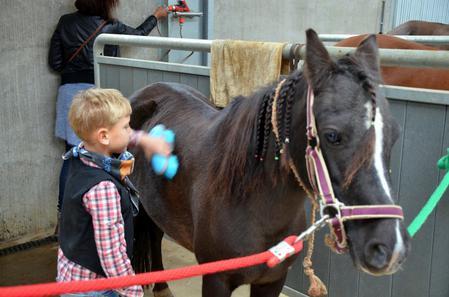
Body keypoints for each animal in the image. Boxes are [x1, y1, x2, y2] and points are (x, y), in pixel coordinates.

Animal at [130, 29, 410, 296]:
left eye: (394, 134)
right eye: (332, 135)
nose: (390, 247)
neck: (250, 202)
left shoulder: (272, 281)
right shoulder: (216, 281)